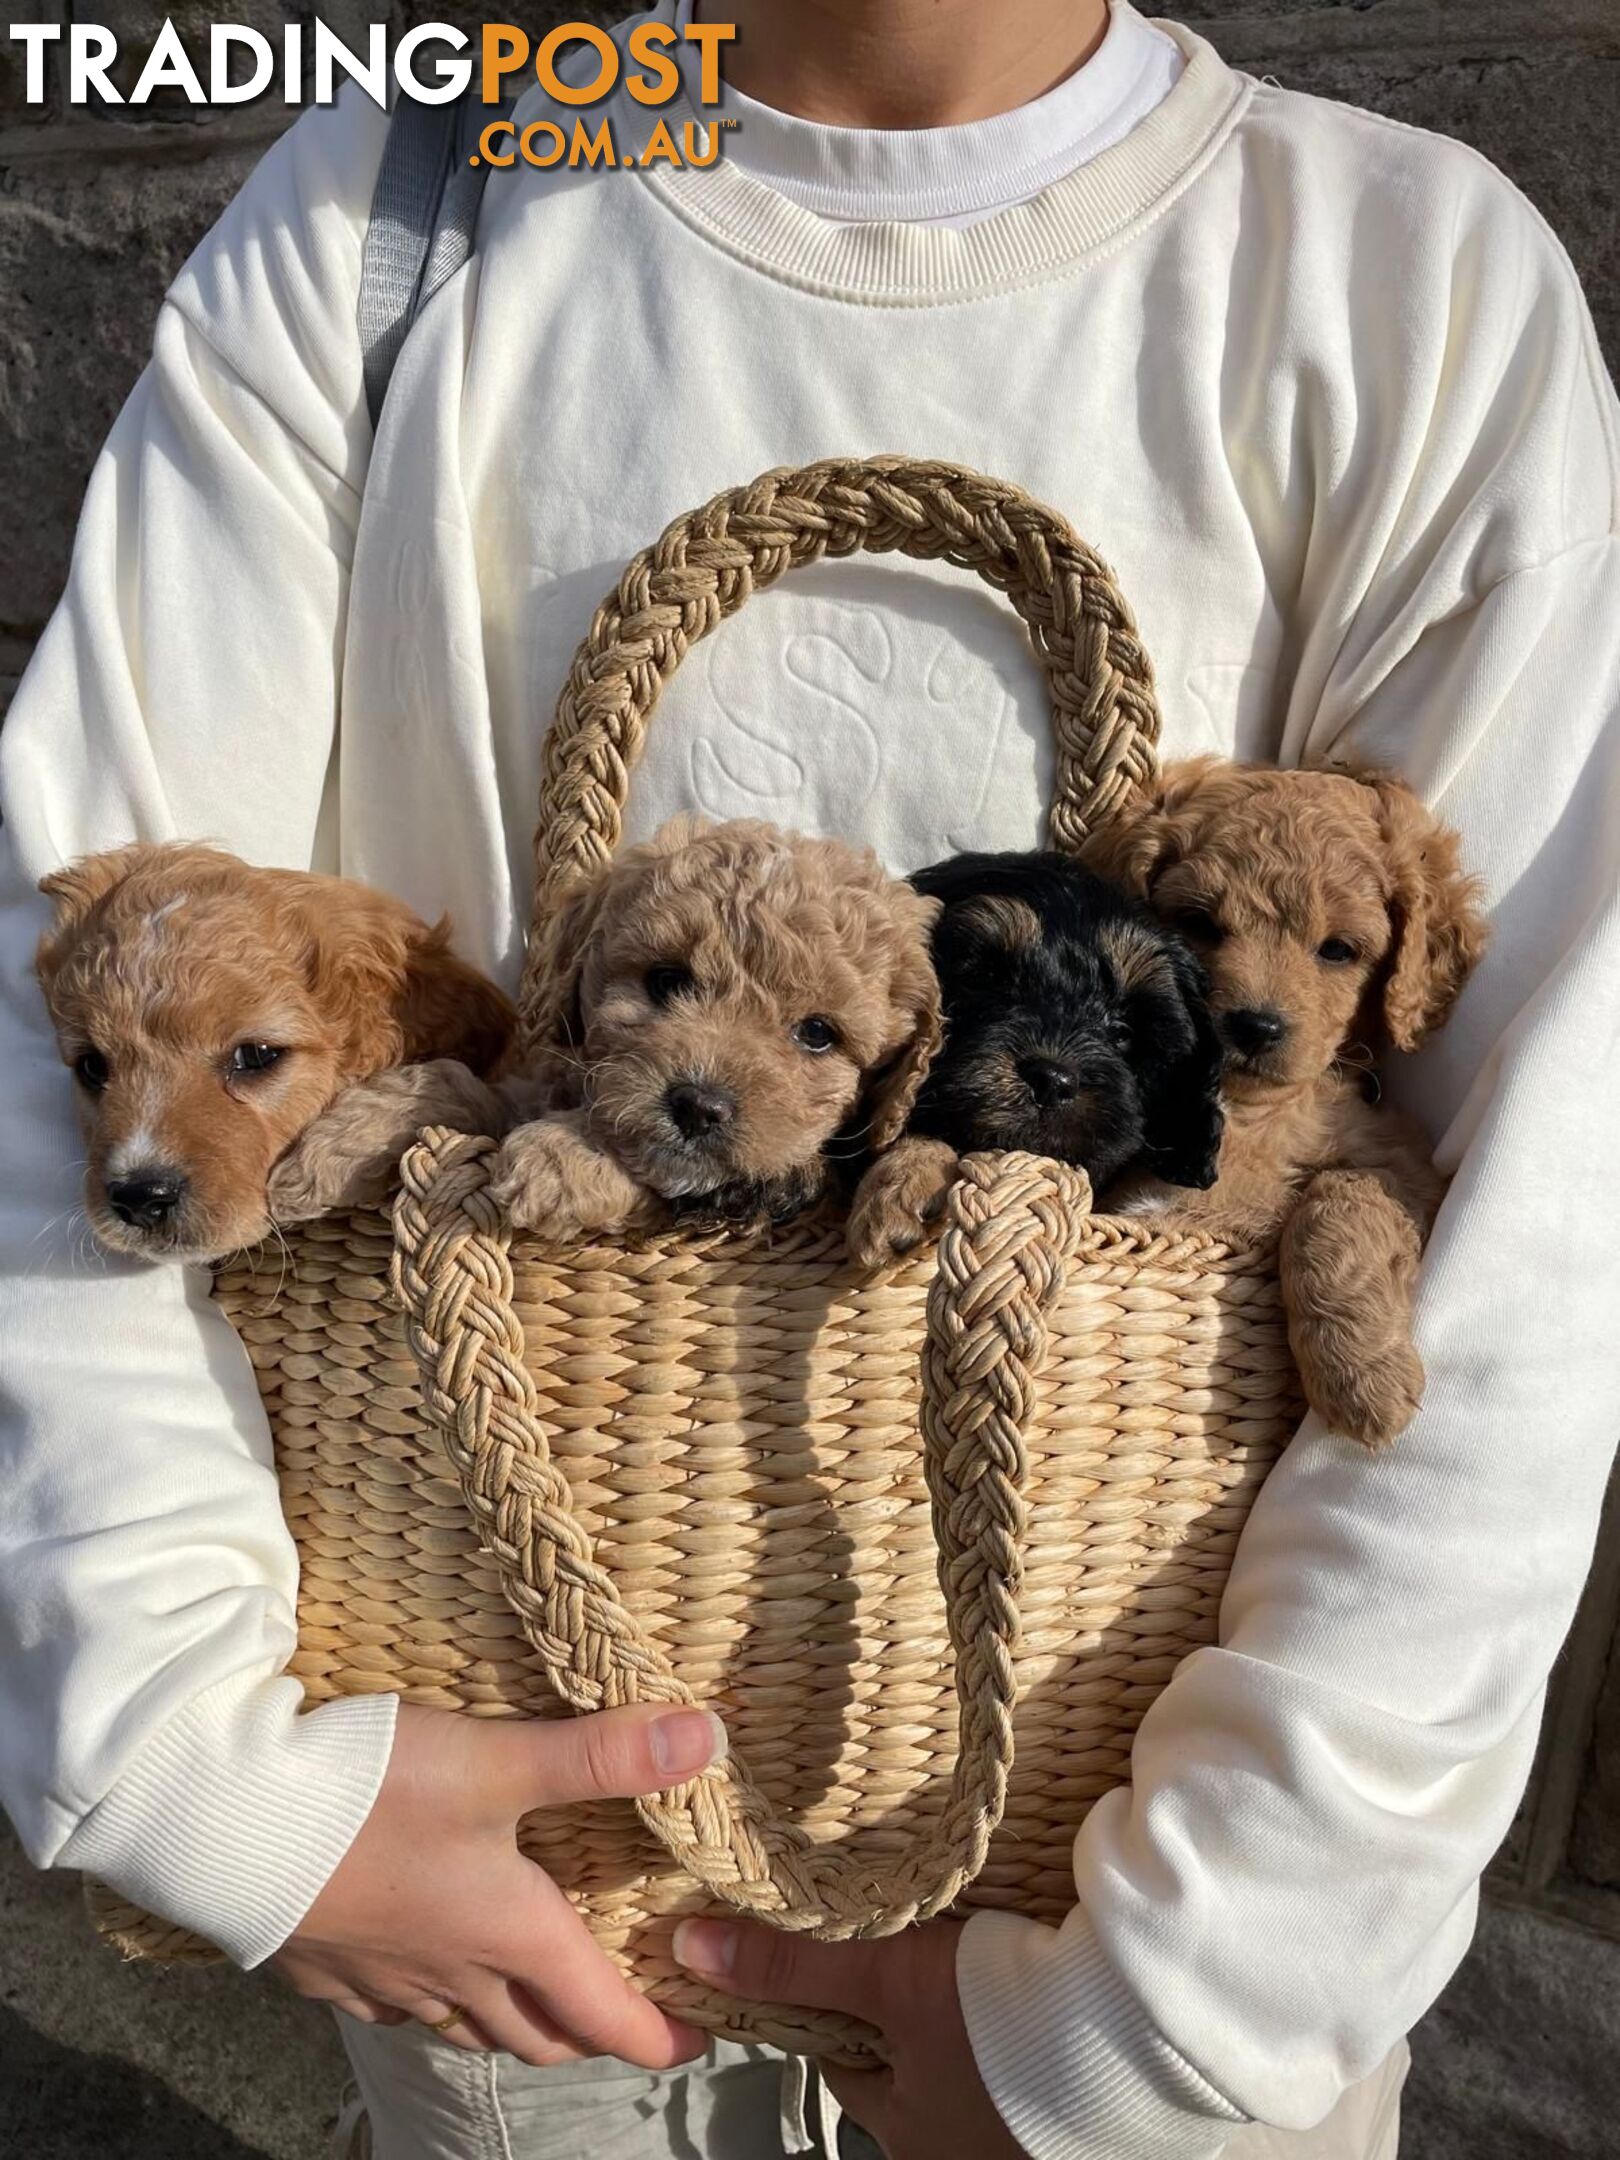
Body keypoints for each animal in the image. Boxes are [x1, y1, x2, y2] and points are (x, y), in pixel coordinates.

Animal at [1092, 760, 1494, 1451]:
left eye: (1338, 950)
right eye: (1198, 923)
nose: (1254, 1026)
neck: (1246, 1111)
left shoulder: (1412, 1173)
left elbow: (1336, 1197)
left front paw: (1363, 1378)